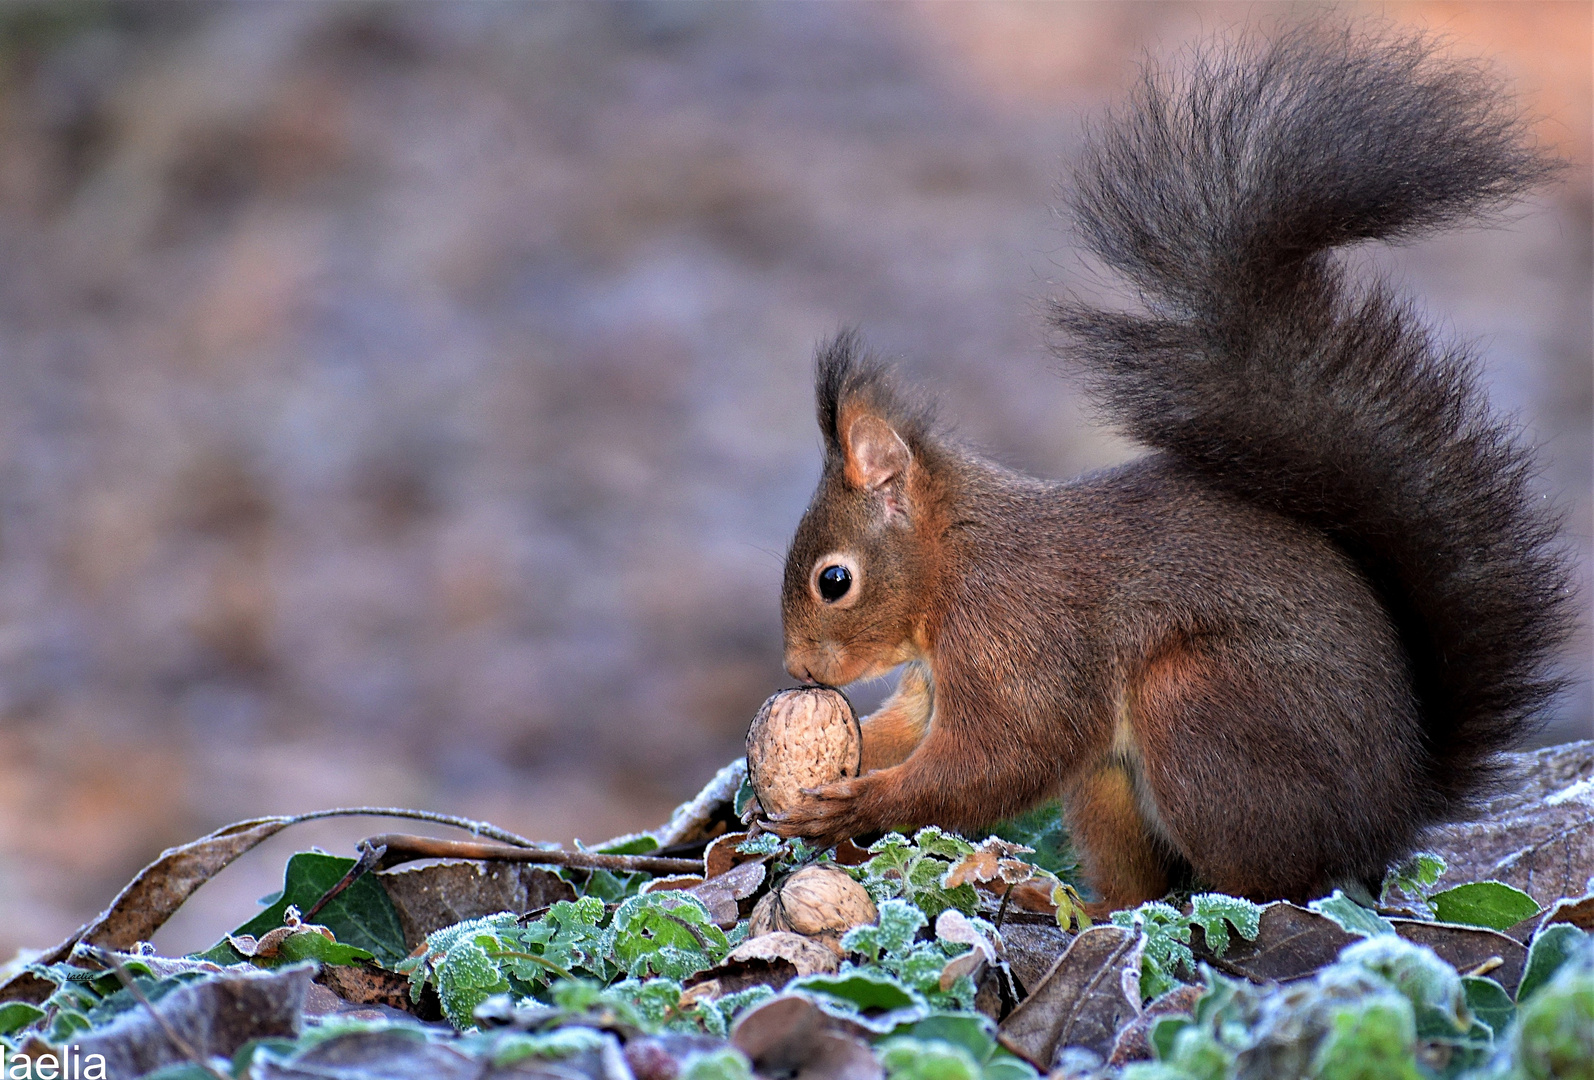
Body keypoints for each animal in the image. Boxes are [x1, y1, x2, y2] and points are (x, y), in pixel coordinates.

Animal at [765, 25, 1574, 911]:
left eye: (833, 580)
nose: (799, 670)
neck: (957, 559)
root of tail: (1393, 816)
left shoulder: (1019, 639)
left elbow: (1003, 756)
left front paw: (858, 804)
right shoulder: (936, 680)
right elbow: (903, 729)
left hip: (1197, 705)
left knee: (1266, 883)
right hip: (1115, 782)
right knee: (1135, 876)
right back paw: (1081, 904)